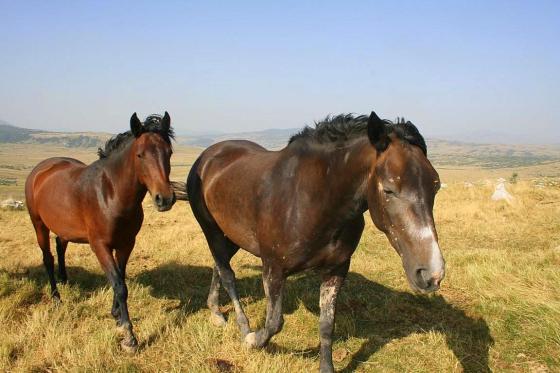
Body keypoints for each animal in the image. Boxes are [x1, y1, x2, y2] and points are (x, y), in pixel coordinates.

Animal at [25, 112, 175, 350]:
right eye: (140, 155)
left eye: (169, 152)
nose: (165, 199)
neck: (110, 194)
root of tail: (40, 170)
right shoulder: (100, 246)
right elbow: (119, 285)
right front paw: (129, 337)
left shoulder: (126, 244)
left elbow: (120, 279)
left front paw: (116, 315)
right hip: (38, 224)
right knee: (47, 258)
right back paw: (57, 298)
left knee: (60, 247)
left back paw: (65, 280)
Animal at [184, 111, 446, 372]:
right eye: (389, 189)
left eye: (435, 186)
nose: (431, 274)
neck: (313, 200)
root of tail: (208, 155)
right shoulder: (273, 269)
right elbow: (274, 322)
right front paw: (252, 340)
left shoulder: (336, 270)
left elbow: (327, 325)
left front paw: (326, 367)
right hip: (211, 230)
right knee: (227, 274)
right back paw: (242, 326)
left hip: (231, 235)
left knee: (219, 266)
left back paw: (215, 310)